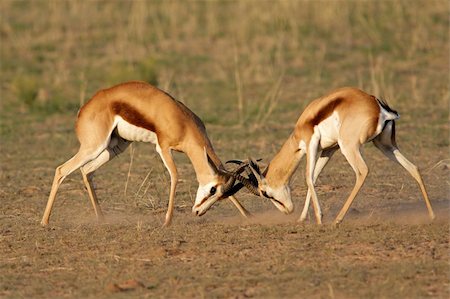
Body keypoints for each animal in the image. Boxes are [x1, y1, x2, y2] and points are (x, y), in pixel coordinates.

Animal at [41, 81, 250, 227]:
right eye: (212, 190)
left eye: (220, 194)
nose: (198, 212)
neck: (182, 122)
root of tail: (83, 109)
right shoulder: (163, 148)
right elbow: (175, 176)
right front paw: (167, 221)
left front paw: (247, 214)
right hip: (93, 147)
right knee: (62, 170)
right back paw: (44, 222)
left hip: (114, 147)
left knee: (87, 171)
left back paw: (101, 218)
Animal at [230, 88, 434, 226]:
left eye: (265, 193)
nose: (288, 211)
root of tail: (379, 108)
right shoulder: (329, 149)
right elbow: (314, 177)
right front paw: (302, 218)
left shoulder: (311, 143)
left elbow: (308, 178)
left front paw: (319, 219)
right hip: (384, 145)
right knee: (413, 168)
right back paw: (431, 215)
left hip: (349, 147)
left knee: (362, 171)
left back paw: (338, 219)